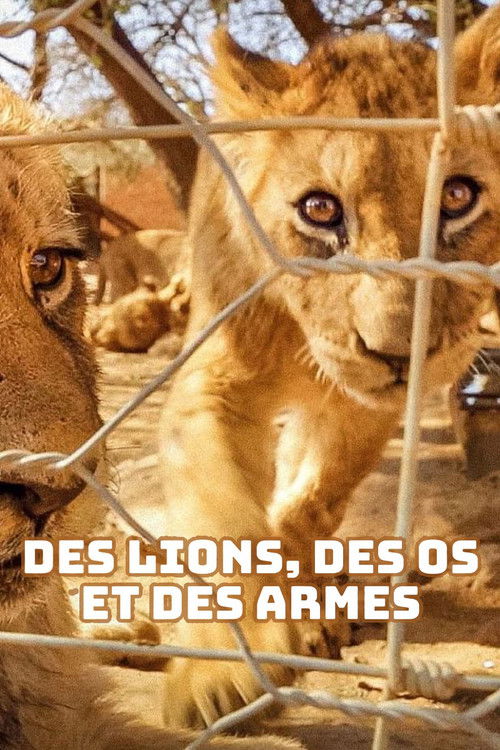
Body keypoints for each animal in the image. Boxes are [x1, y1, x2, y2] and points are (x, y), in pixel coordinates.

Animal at [158, 8, 500, 728]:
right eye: (320, 210)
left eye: (458, 197)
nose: (398, 352)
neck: (300, 336)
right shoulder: (209, 383)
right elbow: (223, 516)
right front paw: (218, 675)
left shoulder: (365, 408)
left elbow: (310, 502)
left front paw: (307, 604)